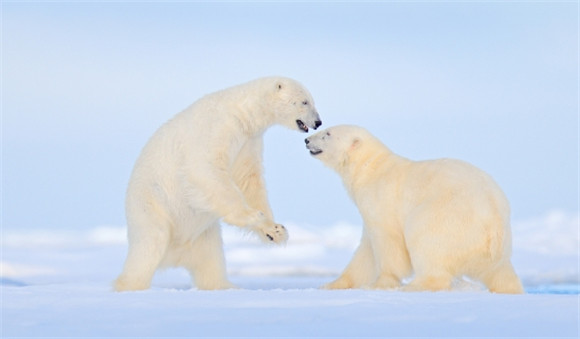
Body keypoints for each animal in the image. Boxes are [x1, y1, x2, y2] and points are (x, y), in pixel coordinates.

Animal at [113, 77, 322, 292]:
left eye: (310, 100)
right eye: (305, 101)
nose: (318, 122)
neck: (243, 112)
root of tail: (174, 255)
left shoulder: (248, 142)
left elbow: (248, 180)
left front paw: (276, 231)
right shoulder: (217, 129)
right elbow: (206, 170)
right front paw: (253, 216)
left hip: (205, 236)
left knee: (211, 262)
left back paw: (227, 286)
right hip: (151, 208)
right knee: (149, 247)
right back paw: (129, 285)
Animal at [306, 125, 524, 294]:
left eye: (327, 133)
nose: (307, 140)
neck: (370, 168)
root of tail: (494, 224)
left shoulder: (381, 200)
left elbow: (388, 242)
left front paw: (380, 284)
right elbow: (365, 252)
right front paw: (331, 285)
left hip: (447, 217)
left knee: (424, 239)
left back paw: (414, 286)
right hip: (494, 247)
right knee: (500, 272)